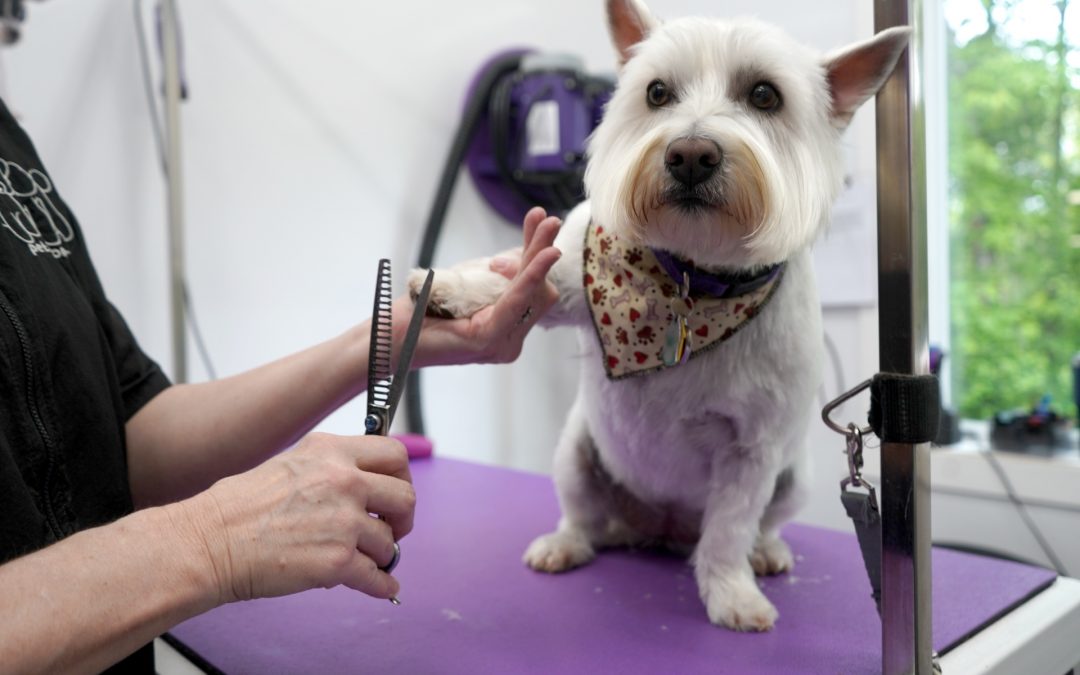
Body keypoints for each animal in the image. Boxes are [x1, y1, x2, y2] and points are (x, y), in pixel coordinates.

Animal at [412, 0, 911, 630]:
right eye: (656, 92)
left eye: (765, 95)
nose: (690, 154)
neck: (690, 283)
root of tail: (661, 528)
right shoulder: (573, 275)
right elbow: (523, 276)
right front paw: (450, 287)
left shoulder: (753, 451)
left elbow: (729, 531)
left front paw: (733, 595)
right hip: (576, 454)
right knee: (582, 516)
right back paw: (565, 544)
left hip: (793, 475)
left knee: (756, 525)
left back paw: (765, 553)